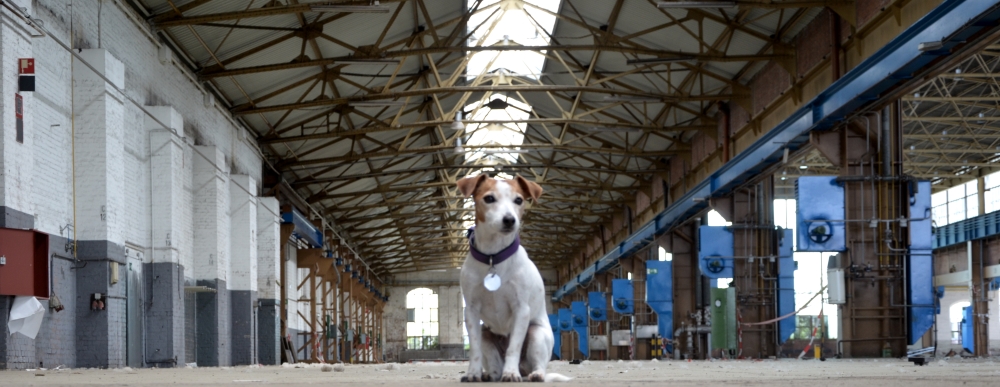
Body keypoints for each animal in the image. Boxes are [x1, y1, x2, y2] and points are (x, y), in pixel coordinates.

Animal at [456, 176, 568, 384]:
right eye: (489, 198)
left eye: (519, 200)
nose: (509, 220)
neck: (494, 257)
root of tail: (524, 370)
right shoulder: (471, 311)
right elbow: (474, 349)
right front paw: (473, 373)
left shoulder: (521, 310)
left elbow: (513, 347)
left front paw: (510, 373)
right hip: (486, 335)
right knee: (494, 368)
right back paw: (488, 375)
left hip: (536, 334)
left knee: (538, 365)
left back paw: (534, 374)